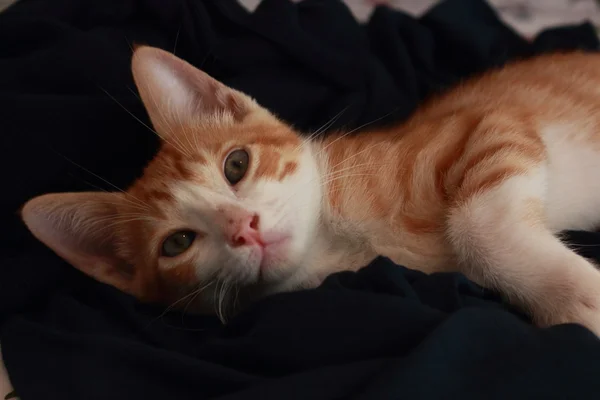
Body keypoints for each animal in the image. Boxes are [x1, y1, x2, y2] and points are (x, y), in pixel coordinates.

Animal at [22, 46, 600, 334]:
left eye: (236, 165)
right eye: (176, 244)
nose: (245, 228)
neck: (341, 242)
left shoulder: (487, 122)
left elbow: (478, 220)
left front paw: (574, 294)